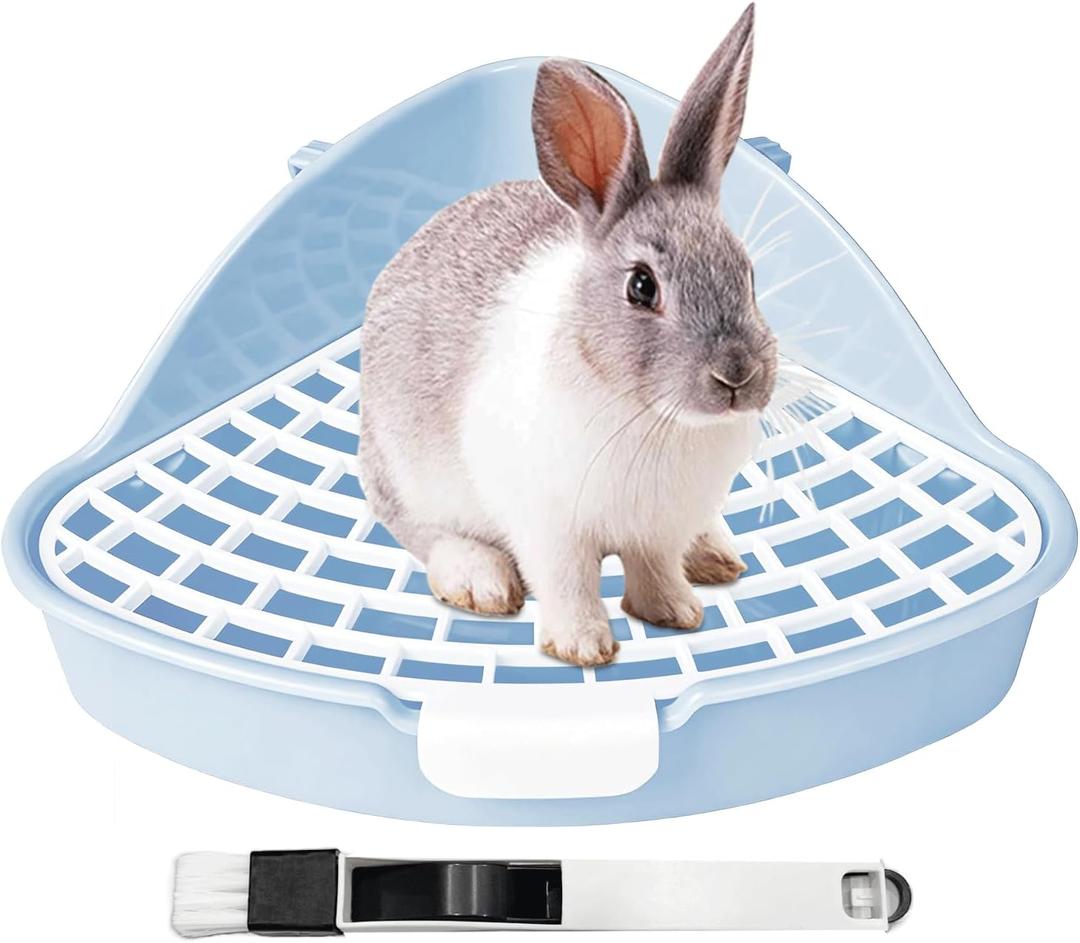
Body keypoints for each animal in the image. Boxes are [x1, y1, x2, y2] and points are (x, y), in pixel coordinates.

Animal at [360, 3, 776, 666]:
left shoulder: (657, 529)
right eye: (641, 287)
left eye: (750, 274)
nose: (737, 375)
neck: (652, 416)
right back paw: (479, 580)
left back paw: (714, 555)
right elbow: (568, 580)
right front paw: (581, 647)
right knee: (424, 533)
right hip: (406, 475)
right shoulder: (548, 525)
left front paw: (676, 613)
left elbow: (654, 569)